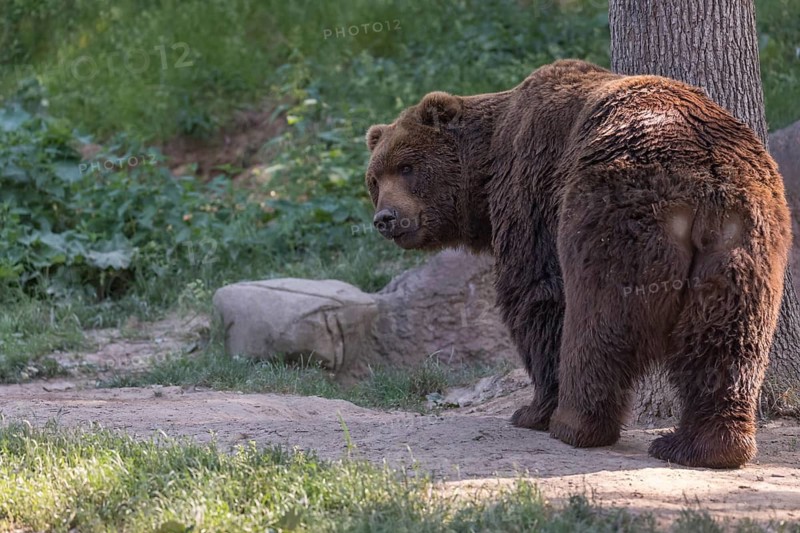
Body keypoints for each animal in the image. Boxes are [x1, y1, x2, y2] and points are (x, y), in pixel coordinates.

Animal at [364, 59, 791, 469]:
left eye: (407, 167)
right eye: (374, 179)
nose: (386, 218)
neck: (487, 171)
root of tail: (705, 177)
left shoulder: (531, 189)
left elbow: (537, 294)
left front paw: (531, 410)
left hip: (614, 213)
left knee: (598, 317)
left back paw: (576, 424)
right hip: (744, 243)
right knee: (725, 337)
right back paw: (700, 446)